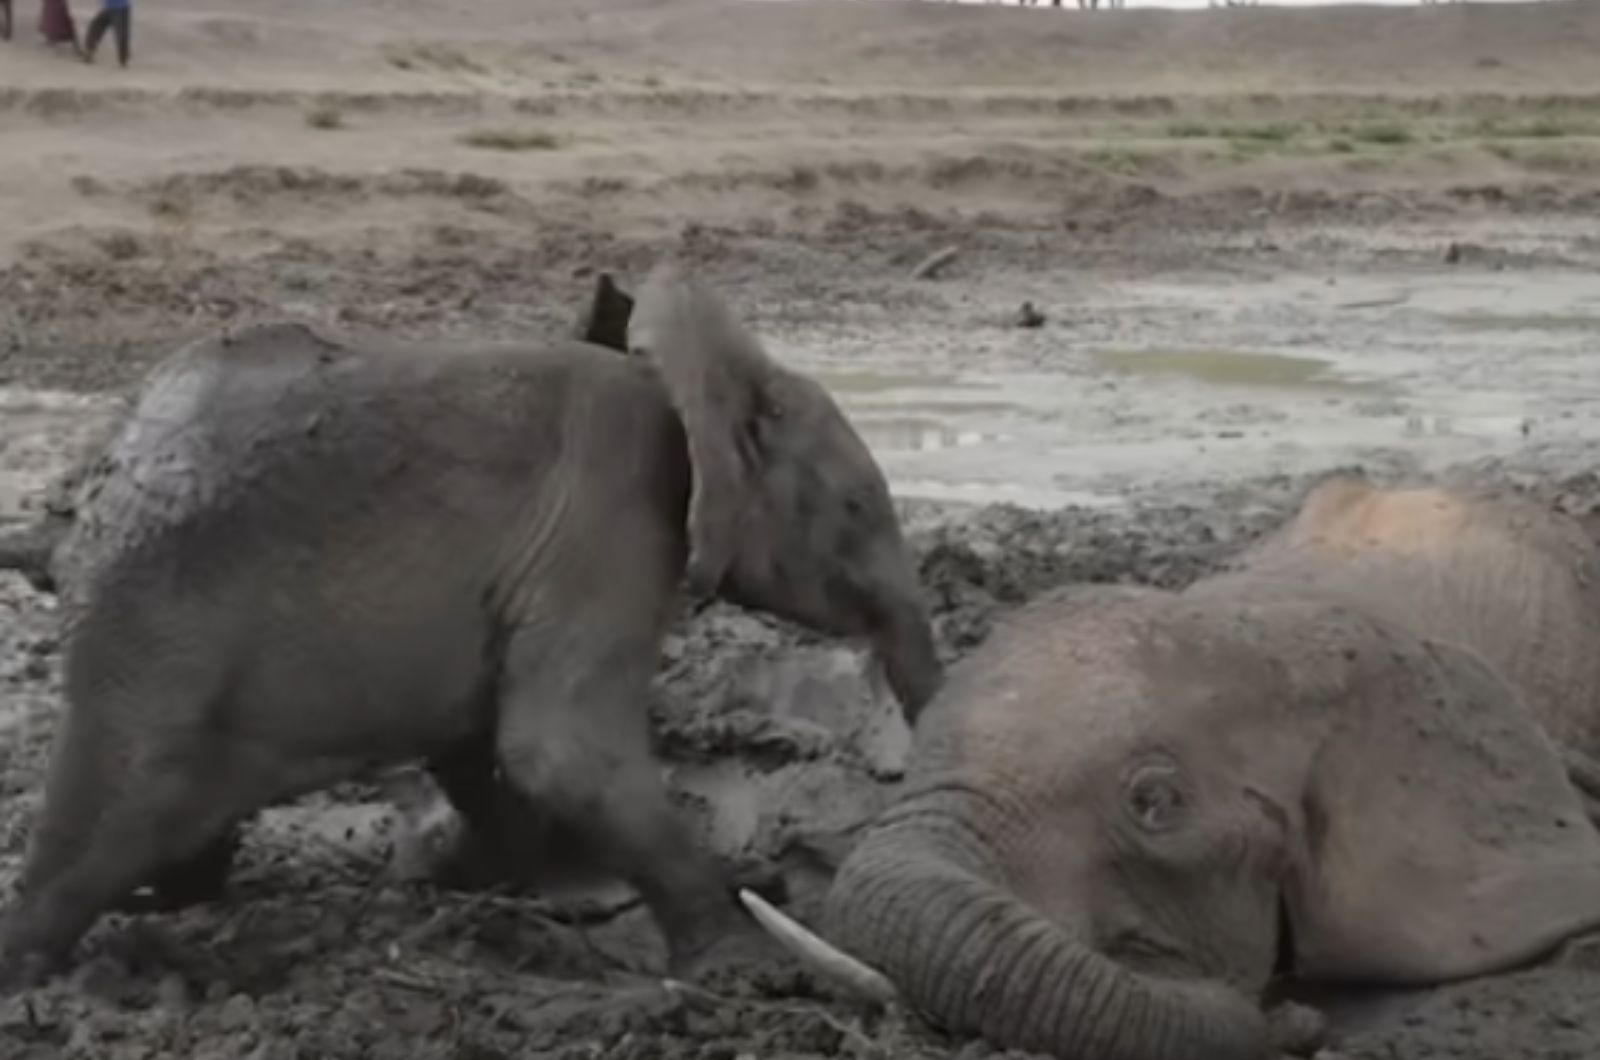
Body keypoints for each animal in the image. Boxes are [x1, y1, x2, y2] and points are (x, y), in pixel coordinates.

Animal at [0, 260, 947, 992]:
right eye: (857, 510)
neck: (687, 374)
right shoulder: (610, 527)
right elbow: (560, 750)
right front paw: (751, 968)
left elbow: (484, 745)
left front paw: (485, 876)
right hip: (155, 639)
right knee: (114, 819)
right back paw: (43, 965)